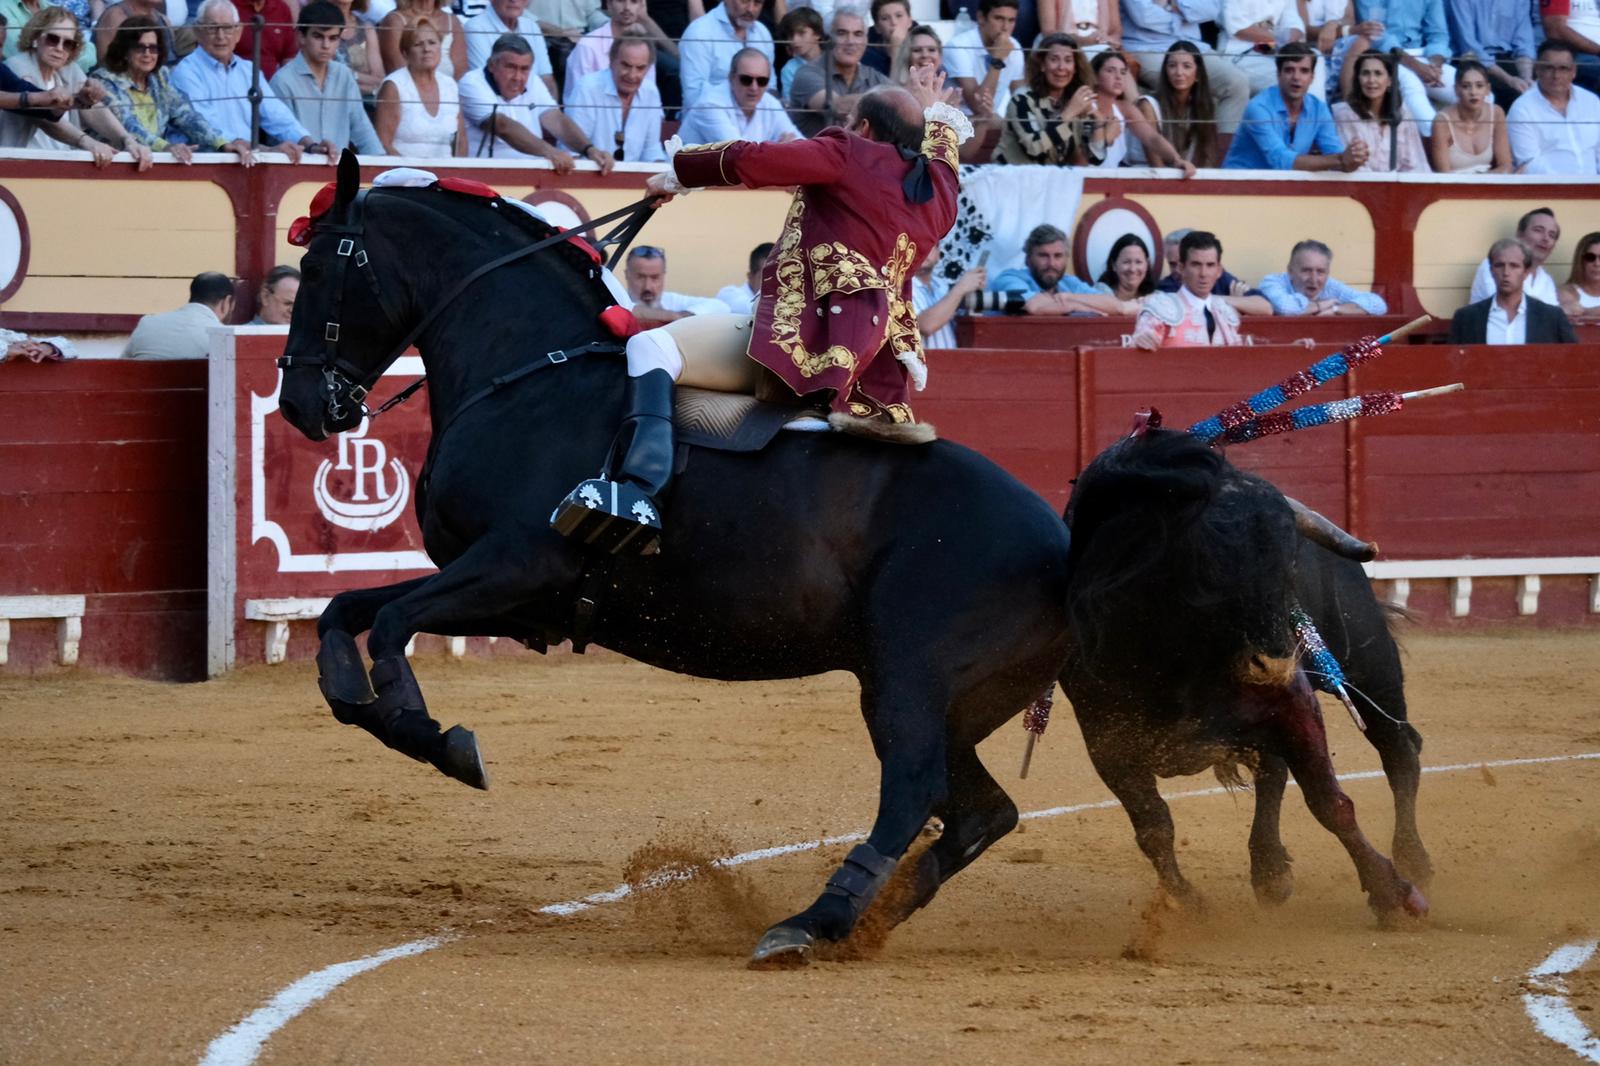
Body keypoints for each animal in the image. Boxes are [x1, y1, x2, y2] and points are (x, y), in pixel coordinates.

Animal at [275, 156, 1075, 960]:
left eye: (316, 266)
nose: (299, 405)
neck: (530, 373)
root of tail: (1062, 543)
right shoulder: (511, 596)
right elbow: (344, 611)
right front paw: (356, 696)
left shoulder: (517, 564)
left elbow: (390, 622)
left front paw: (432, 736)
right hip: (946, 701)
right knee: (983, 811)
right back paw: (865, 918)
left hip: (909, 683)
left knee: (912, 789)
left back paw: (810, 923)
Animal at [1062, 428, 1427, 915]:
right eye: (1206, 564)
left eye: (1291, 562)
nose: (1276, 663)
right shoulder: (1107, 742)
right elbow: (1154, 827)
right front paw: (1189, 905)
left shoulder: (1294, 702)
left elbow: (1329, 800)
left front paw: (1393, 893)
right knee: (1274, 772)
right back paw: (1271, 872)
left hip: (1369, 665)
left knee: (1399, 749)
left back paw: (1413, 859)